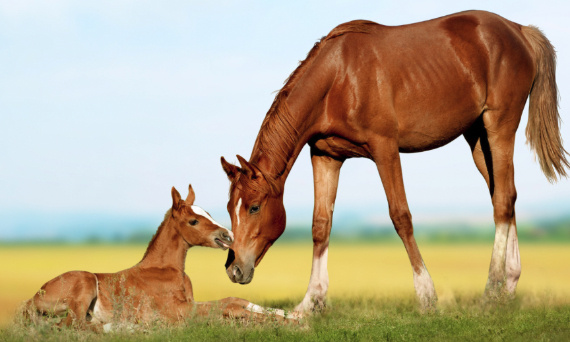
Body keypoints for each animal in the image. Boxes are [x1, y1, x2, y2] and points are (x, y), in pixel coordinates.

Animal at [24, 184, 288, 328]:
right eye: (193, 221)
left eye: (208, 213)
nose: (228, 235)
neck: (166, 271)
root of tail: (32, 299)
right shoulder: (179, 311)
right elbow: (231, 307)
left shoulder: (190, 303)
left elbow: (233, 299)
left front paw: (287, 315)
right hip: (85, 281)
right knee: (71, 326)